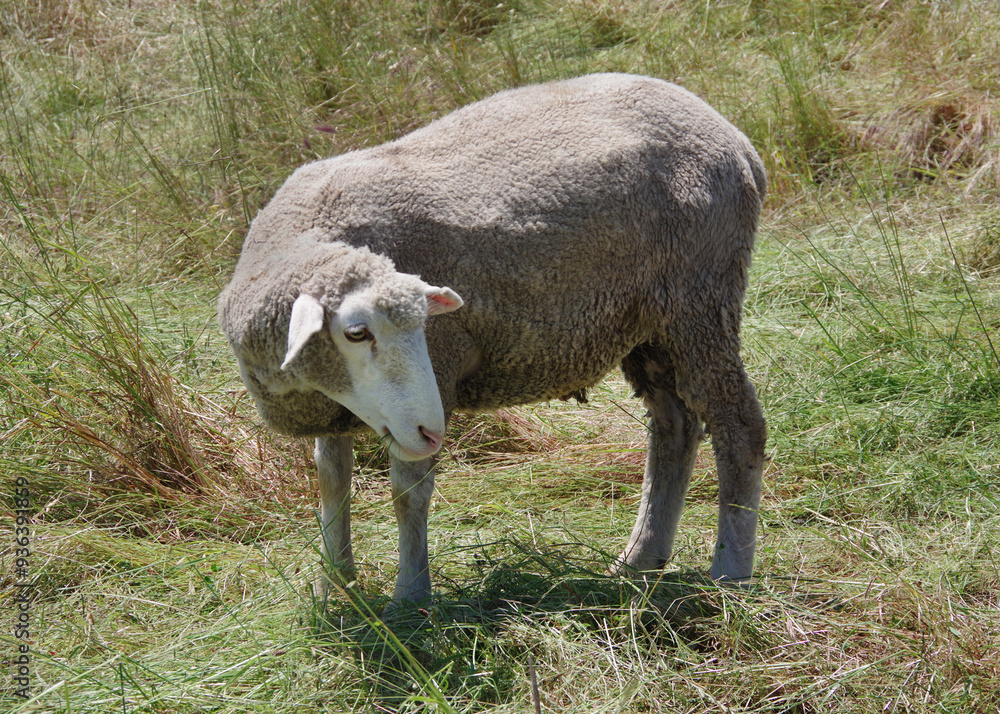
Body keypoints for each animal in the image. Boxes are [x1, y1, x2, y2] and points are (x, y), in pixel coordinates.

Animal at [218, 73, 768, 603]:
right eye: (356, 333)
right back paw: (639, 560)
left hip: (699, 296)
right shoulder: (336, 403)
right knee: (675, 427)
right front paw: (335, 587)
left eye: (422, 324)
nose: (431, 431)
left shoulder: (436, 374)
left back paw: (730, 571)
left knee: (739, 425)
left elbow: (408, 492)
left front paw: (409, 598)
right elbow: (332, 482)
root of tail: (735, 137)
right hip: (647, 324)